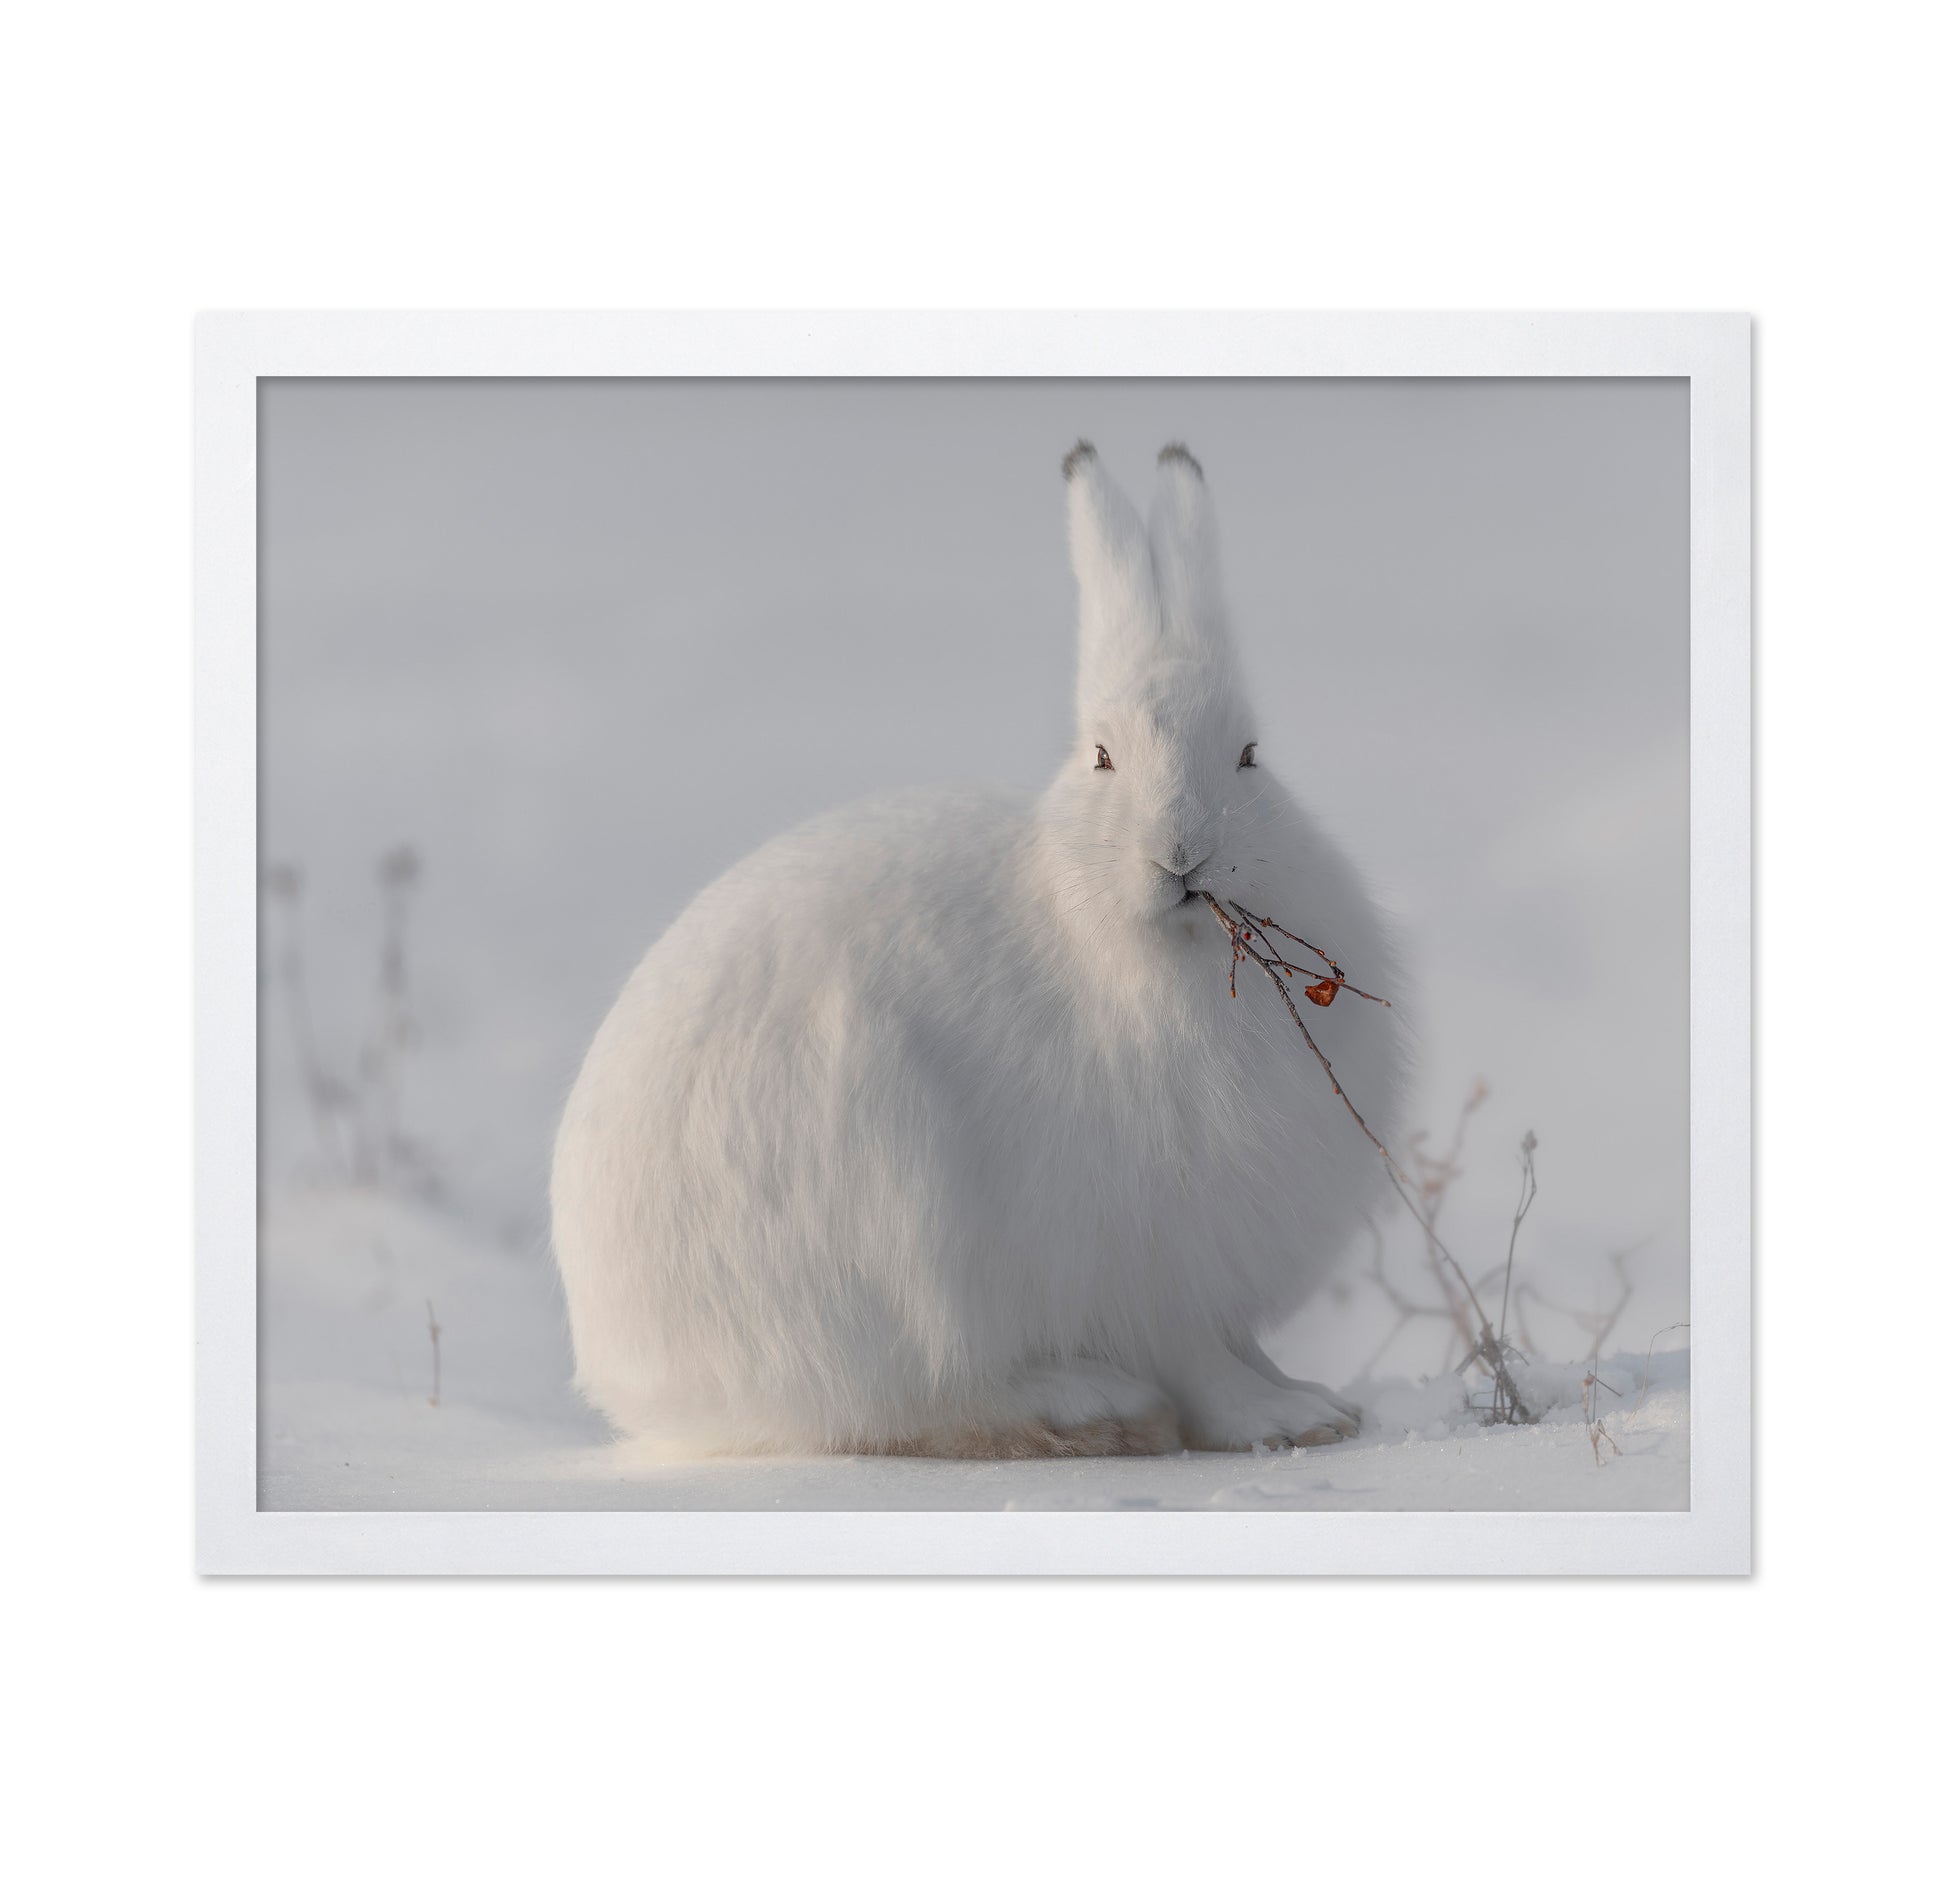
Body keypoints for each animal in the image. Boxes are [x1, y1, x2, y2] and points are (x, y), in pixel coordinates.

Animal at [550, 441, 1409, 1457]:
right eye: (1103, 757)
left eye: (1249, 756)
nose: (1183, 852)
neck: (1137, 947)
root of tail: (626, 1369)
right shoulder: (1150, 1261)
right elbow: (1202, 1363)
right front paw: (1281, 1420)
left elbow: (1241, 1347)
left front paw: (1317, 1401)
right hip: (889, 1224)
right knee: (918, 1397)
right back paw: (1091, 1401)